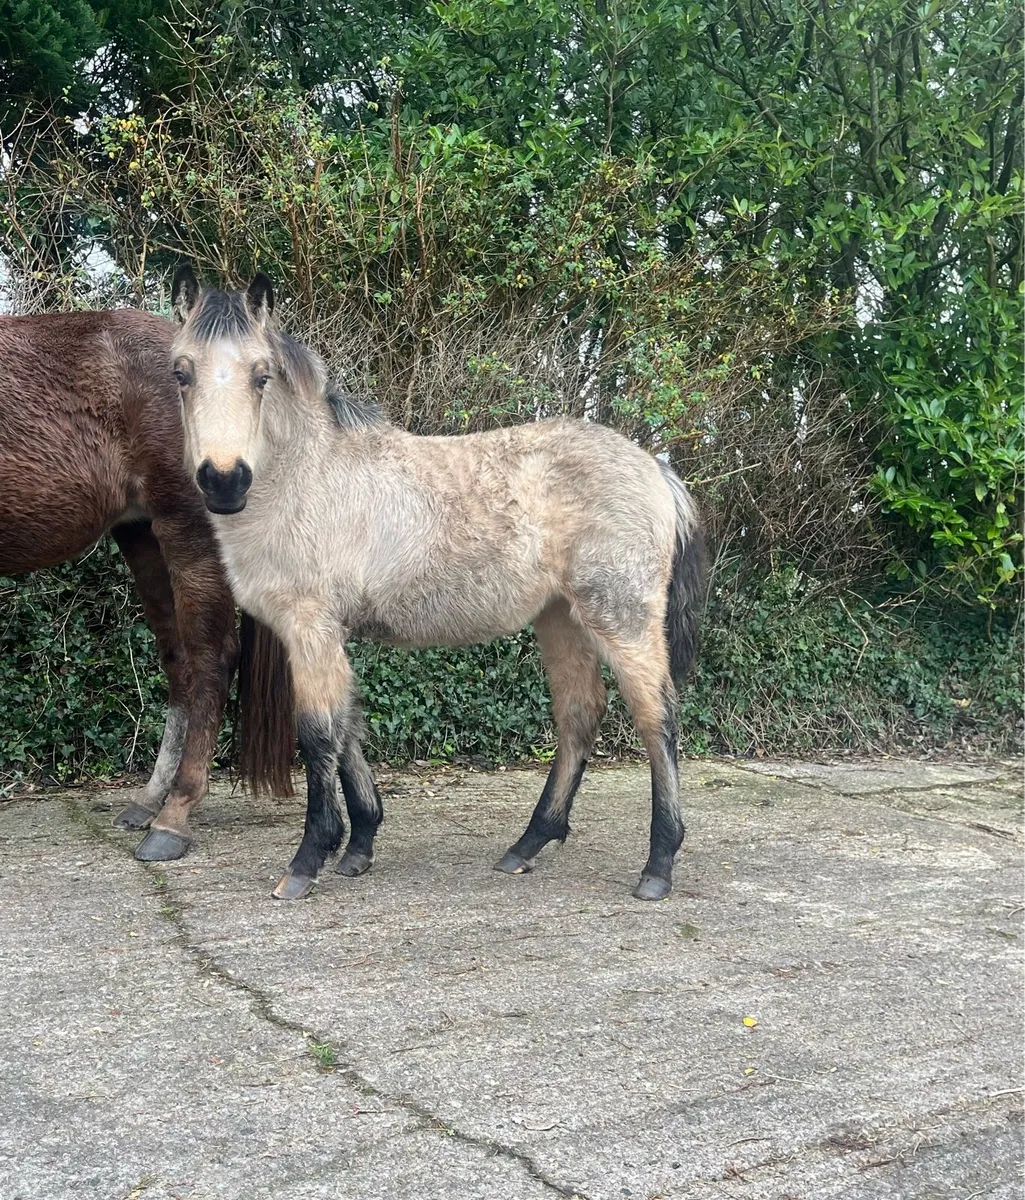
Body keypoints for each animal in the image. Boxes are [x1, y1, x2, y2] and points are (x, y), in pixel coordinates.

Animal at [0, 306, 294, 861]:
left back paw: (174, 816)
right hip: (141, 533)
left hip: (189, 530)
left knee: (210, 658)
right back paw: (150, 801)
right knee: (179, 660)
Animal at [170, 265, 707, 902]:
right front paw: (359, 846)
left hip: (621, 617)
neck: (308, 476)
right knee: (579, 714)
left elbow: (320, 734)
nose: (223, 481)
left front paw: (307, 861)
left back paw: (658, 865)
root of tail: (654, 466)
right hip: (560, 618)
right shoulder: (327, 635)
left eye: (262, 375)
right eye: (181, 372)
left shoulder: (310, 627)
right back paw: (528, 844)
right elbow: (348, 724)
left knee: (657, 719)